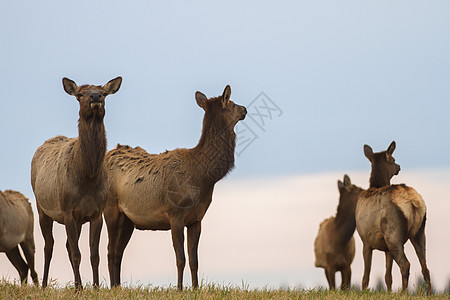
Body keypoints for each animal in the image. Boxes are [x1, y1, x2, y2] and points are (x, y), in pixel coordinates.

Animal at [30, 76, 122, 288]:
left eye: (104, 93)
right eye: (80, 94)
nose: (95, 97)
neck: (87, 179)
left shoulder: (96, 212)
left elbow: (94, 255)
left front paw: (95, 287)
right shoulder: (67, 210)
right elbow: (77, 254)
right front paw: (79, 288)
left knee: (66, 245)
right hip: (41, 207)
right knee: (49, 246)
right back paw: (45, 284)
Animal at [356, 142, 432, 294]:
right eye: (394, 160)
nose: (399, 166)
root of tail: (413, 202)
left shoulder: (366, 240)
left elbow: (366, 276)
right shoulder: (385, 249)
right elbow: (388, 277)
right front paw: (389, 292)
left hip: (393, 233)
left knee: (405, 264)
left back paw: (404, 293)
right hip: (419, 232)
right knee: (425, 267)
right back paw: (431, 294)